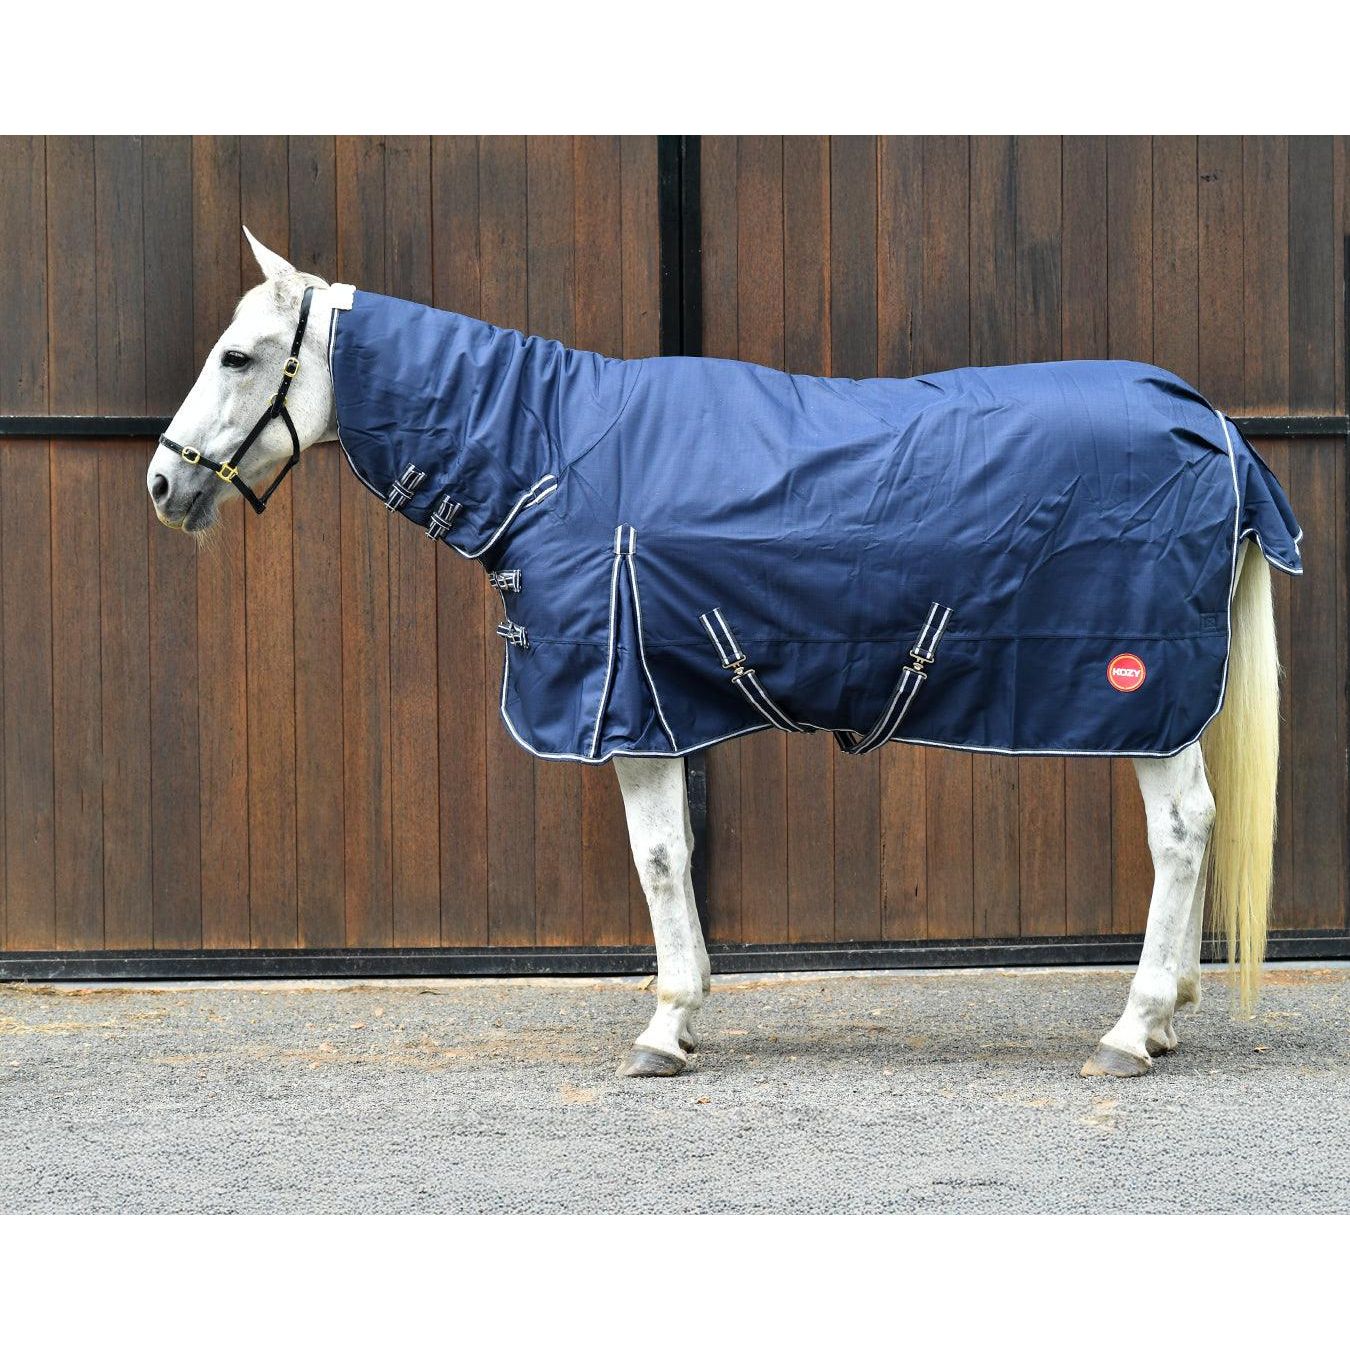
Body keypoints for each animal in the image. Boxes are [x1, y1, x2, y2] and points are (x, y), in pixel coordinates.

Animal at [146, 228, 1296, 1079]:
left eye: (237, 357)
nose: (164, 485)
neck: (552, 453)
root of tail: (1212, 425)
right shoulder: (664, 706)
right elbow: (678, 856)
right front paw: (684, 1012)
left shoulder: (628, 711)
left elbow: (659, 860)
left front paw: (664, 1029)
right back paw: (1168, 1016)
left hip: (1142, 696)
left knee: (1182, 833)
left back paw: (1131, 1030)